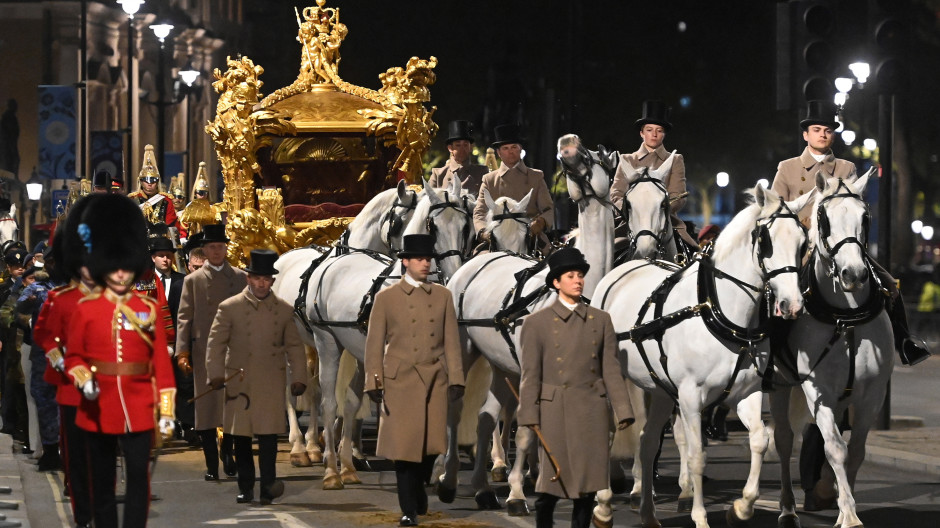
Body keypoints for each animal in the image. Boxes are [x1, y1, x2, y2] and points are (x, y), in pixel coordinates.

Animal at [272, 180, 418, 466]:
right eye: (399, 222)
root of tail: (286, 255)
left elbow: (351, 394)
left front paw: (348, 447)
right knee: (291, 387)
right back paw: (298, 445)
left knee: (313, 387)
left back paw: (313, 443)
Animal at [298, 178, 470, 490]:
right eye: (432, 226)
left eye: (466, 226)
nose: (453, 274)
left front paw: (437, 468)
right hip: (325, 340)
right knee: (326, 400)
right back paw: (329, 467)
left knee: (349, 402)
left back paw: (347, 465)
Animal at [438, 133, 620, 516]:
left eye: (596, 158)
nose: (568, 146)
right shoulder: (531, 372)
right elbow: (524, 431)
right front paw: (518, 494)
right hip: (465, 348)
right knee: (455, 405)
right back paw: (448, 479)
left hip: (500, 362)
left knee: (485, 417)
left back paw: (481, 488)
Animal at [600, 186, 812, 528]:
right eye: (765, 240)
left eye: (803, 241)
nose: (791, 305)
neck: (720, 311)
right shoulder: (689, 397)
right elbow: (697, 454)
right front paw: (699, 515)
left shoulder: (747, 392)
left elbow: (759, 440)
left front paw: (741, 508)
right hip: (612, 380)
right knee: (605, 432)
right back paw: (604, 502)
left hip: (661, 390)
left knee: (647, 442)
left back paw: (648, 513)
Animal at [764, 170, 888, 528]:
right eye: (824, 218)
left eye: (866, 217)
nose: (854, 274)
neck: (845, 318)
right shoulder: (816, 389)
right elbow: (835, 447)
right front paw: (848, 513)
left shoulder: (872, 394)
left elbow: (856, 451)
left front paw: (843, 498)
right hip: (780, 385)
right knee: (784, 439)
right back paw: (788, 508)